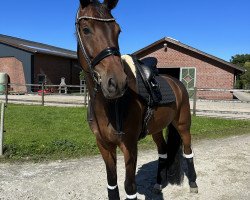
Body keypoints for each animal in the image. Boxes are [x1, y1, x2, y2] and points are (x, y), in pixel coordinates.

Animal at [75, 0, 198, 199]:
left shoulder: (130, 146)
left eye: (118, 30)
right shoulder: (104, 145)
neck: (108, 106)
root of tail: (177, 83)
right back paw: (158, 184)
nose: (116, 82)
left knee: (188, 151)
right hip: (157, 129)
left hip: (183, 126)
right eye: (86, 30)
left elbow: (129, 187)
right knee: (163, 152)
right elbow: (112, 184)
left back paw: (193, 183)